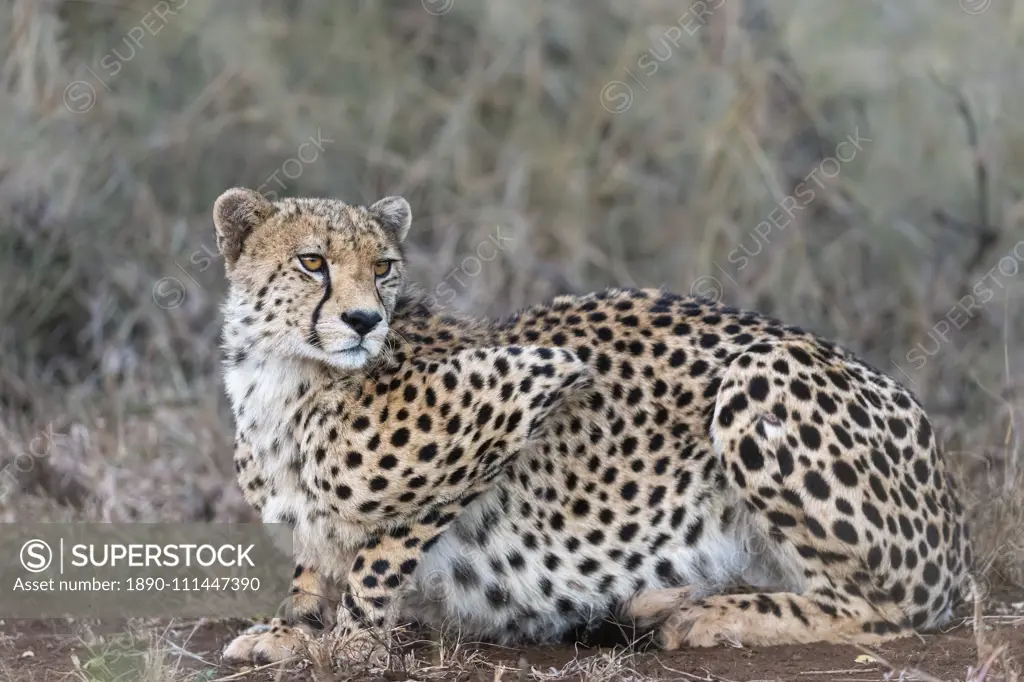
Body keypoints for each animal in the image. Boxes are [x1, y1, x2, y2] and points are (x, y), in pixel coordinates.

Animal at [214, 184, 966, 659]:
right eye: (312, 261)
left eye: (383, 267)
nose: (366, 320)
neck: (284, 374)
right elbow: (315, 560)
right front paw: (291, 629)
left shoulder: (533, 379)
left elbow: (380, 553)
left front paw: (350, 645)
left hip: (761, 373)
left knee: (891, 611)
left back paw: (711, 615)